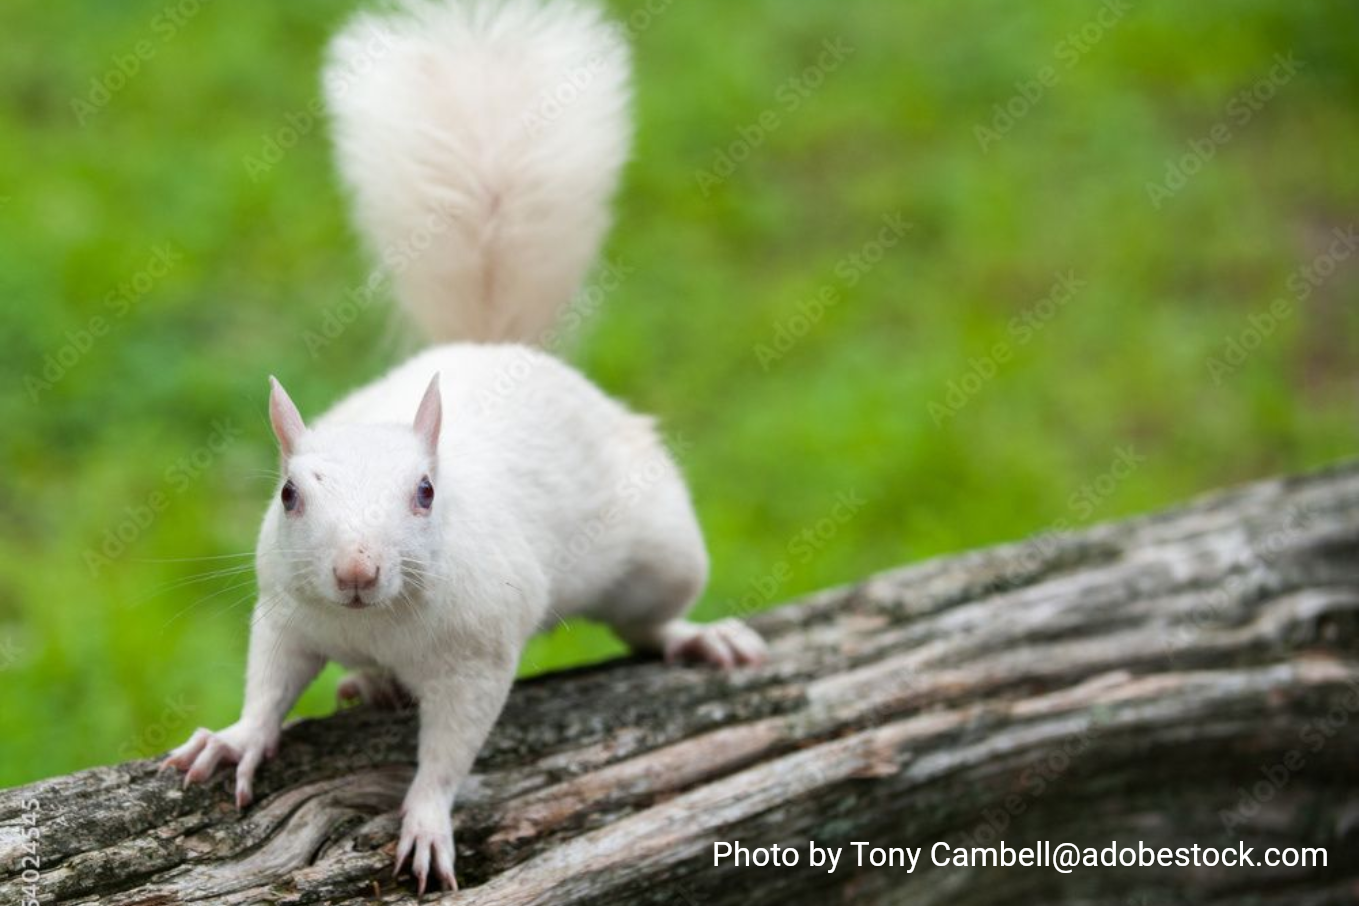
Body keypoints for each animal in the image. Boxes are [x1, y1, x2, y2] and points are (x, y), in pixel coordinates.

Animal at [160, 0, 767, 893]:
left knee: (647, 624)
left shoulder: (477, 655)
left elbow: (449, 751)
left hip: (662, 554)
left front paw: (425, 824)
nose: (355, 572)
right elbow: (269, 683)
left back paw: (697, 636)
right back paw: (369, 684)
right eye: (288, 494)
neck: (377, 621)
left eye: (425, 492)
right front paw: (232, 740)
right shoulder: (285, 612)